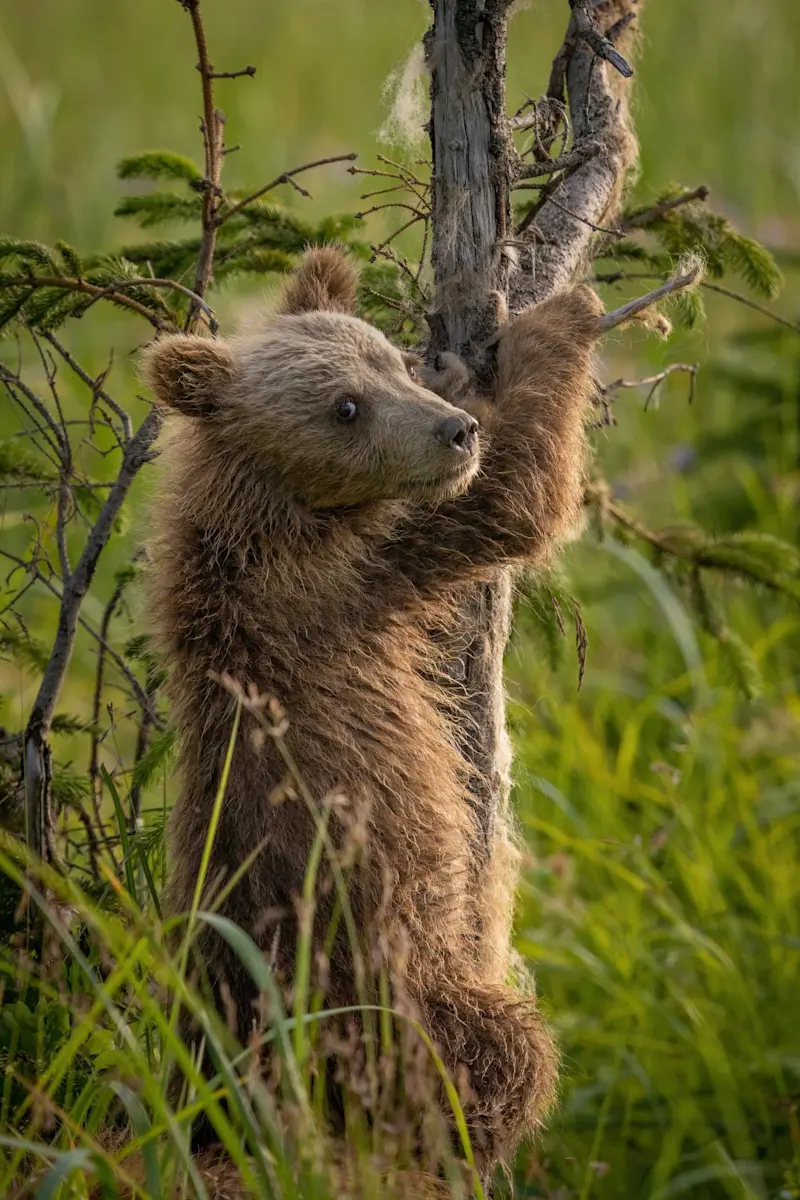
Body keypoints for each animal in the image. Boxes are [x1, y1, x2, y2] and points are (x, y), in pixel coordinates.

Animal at [141, 246, 604, 1176]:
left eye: (389, 358)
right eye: (344, 406)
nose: (454, 430)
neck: (267, 511)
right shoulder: (346, 573)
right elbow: (509, 503)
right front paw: (558, 318)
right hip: (388, 1002)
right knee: (504, 1052)